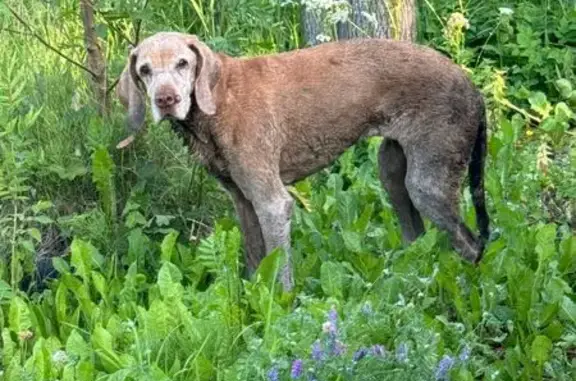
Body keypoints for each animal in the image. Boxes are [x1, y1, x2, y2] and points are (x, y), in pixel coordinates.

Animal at [117, 31, 490, 290]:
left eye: (183, 63)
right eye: (144, 70)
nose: (166, 100)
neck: (220, 101)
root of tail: (471, 85)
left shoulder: (272, 202)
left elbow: (280, 267)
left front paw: (281, 306)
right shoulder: (243, 201)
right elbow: (256, 259)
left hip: (428, 183)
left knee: (471, 246)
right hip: (393, 172)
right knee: (417, 238)